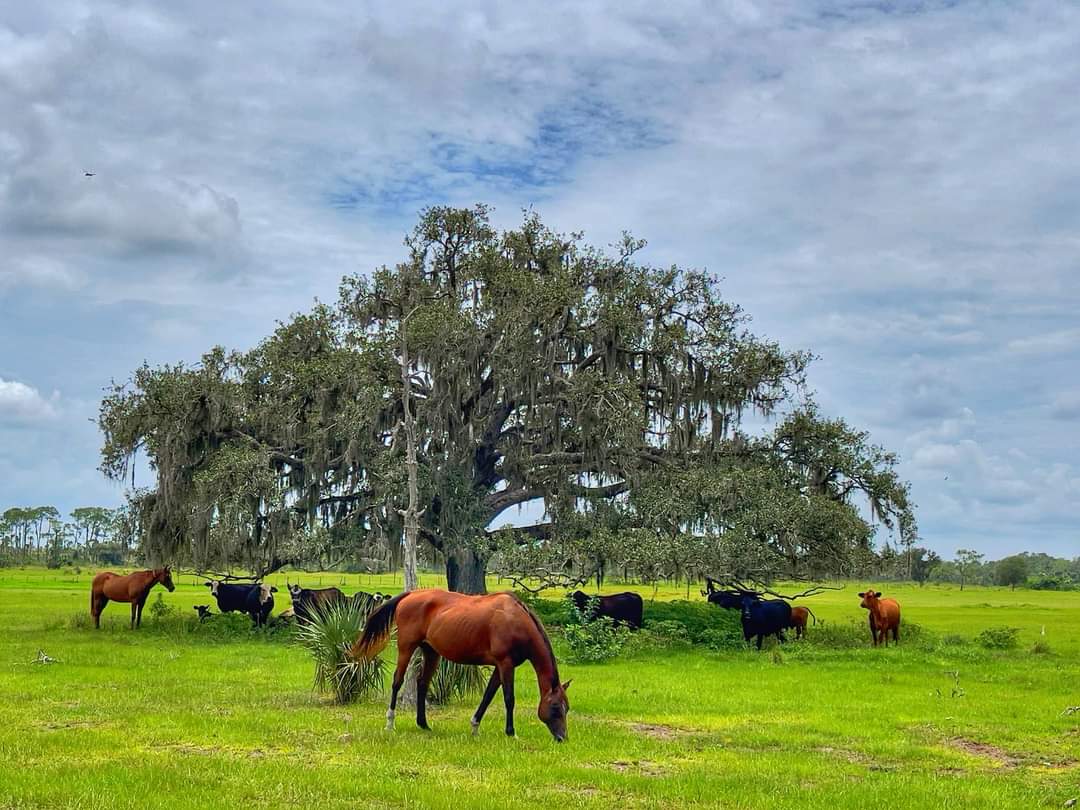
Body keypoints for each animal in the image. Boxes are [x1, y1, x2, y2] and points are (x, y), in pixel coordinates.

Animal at [350, 589, 571, 741]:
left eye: (566, 708)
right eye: (554, 706)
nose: (562, 738)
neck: (514, 618)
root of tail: (411, 594)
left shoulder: (500, 667)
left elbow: (488, 696)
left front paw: (475, 726)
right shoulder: (505, 664)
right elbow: (509, 699)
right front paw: (511, 732)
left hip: (431, 652)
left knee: (422, 683)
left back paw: (423, 724)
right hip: (406, 647)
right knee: (397, 682)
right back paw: (390, 723)